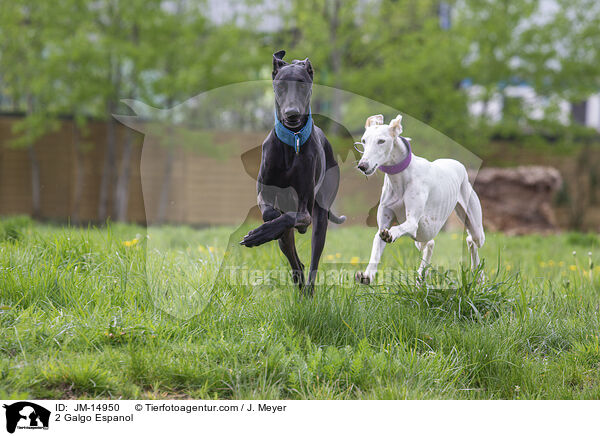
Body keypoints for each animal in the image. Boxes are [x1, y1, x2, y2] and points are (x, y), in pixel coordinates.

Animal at [238, 51, 342, 296]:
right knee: (295, 258)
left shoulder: (305, 209)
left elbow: (293, 217)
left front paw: (260, 234)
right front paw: (266, 229)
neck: (292, 141)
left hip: (321, 217)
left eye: (303, 84)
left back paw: (309, 293)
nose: (292, 114)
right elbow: (271, 214)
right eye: (281, 85)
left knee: (313, 261)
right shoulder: (264, 193)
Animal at [356, 112, 482, 284]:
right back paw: (421, 276)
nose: (362, 166)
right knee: (431, 243)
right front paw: (367, 275)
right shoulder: (383, 224)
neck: (400, 178)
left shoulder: (412, 222)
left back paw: (479, 278)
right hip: (423, 234)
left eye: (381, 141)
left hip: (475, 227)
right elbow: (377, 243)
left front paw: (392, 234)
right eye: (364, 140)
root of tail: (458, 164)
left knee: (472, 241)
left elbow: (400, 227)